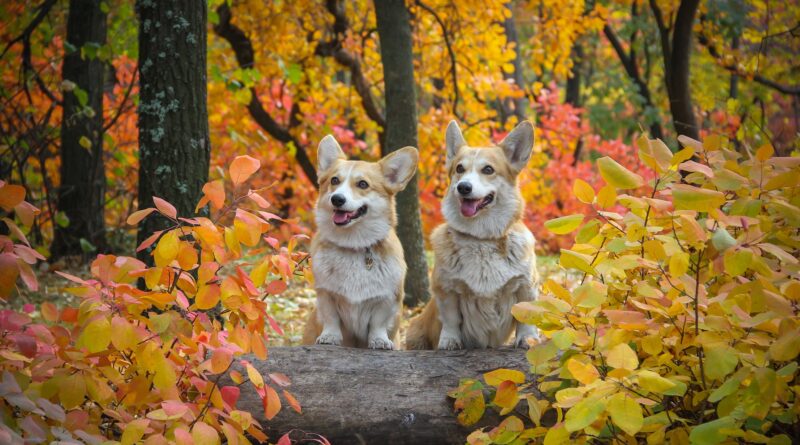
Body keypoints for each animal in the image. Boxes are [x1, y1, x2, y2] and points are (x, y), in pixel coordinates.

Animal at [302, 135, 418, 350]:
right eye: (334, 180)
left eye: (363, 184)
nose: (337, 199)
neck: (353, 244)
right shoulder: (326, 295)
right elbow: (331, 318)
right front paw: (329, 337)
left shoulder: (386, 299)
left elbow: (378, 323)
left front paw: (379, 341)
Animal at [406, 119, 536, 348]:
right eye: (459, 168)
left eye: (488, 169)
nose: (463, 187)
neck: (481, 239)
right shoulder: (446, 289)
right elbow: (451, 319)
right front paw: (449, 342)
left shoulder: (526, 285)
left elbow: (526, 316)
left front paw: (528, 339)